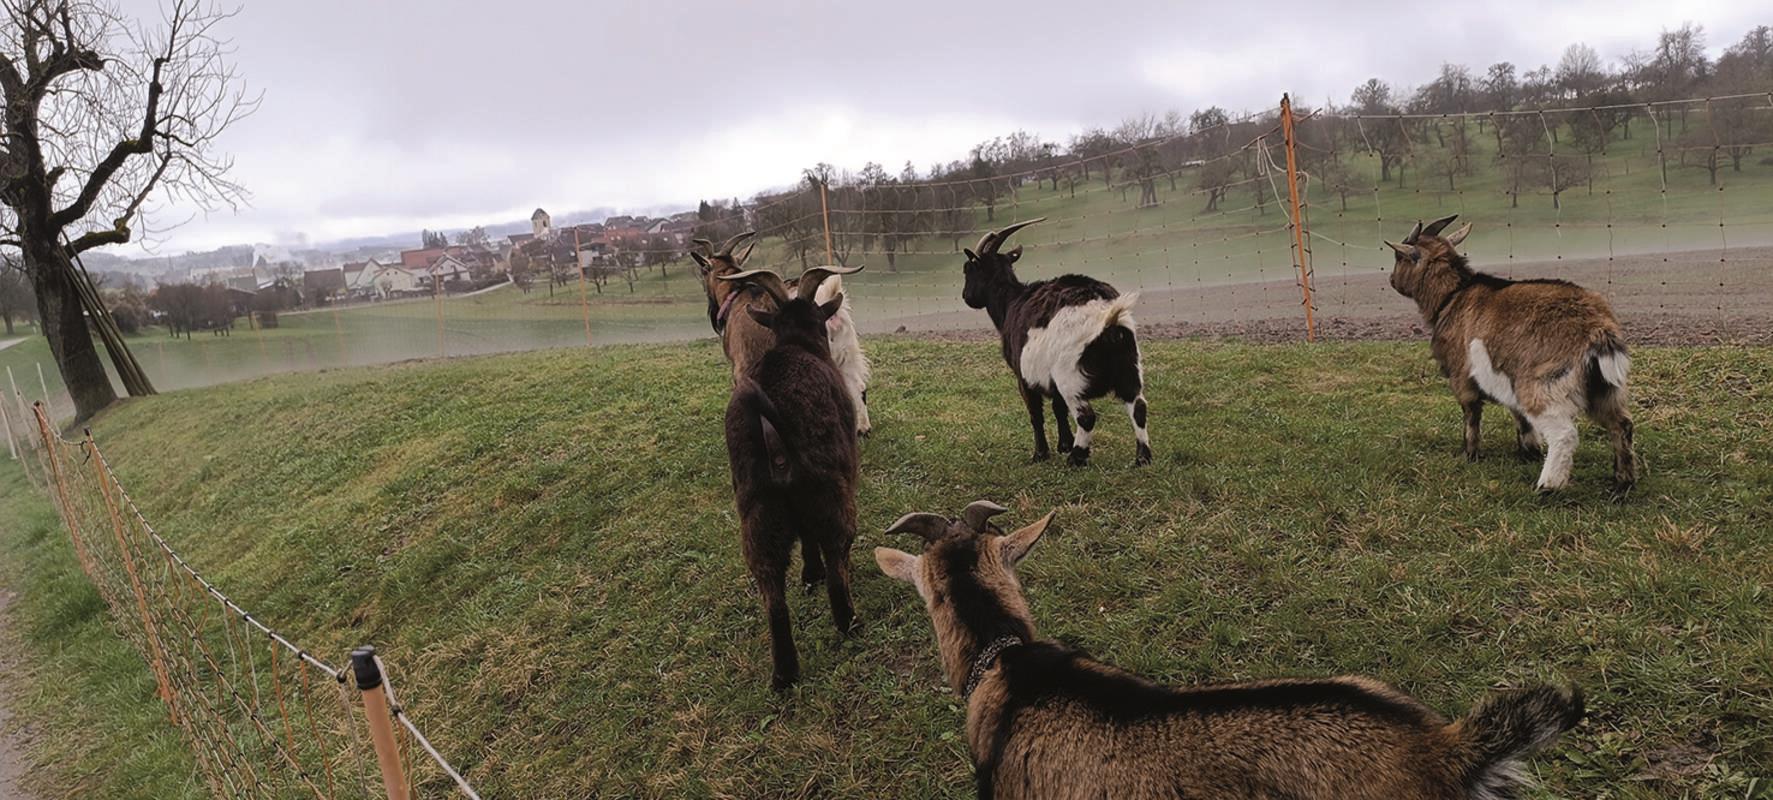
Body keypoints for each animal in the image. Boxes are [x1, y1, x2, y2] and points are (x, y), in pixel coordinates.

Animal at [693, 234, 873, 435]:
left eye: (703, 271)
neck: (736, 295)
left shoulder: (742, 368)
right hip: (845, 354)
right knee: (858, 387)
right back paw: (862, 427)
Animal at [721, 264, 864, 691]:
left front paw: (808, 574)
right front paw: (815, 574)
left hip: (758, 510)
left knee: (771, 588)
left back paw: (784, 673)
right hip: (830, 490)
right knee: (836, 551)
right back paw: (849, 622)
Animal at [960, 218, 1149, 466]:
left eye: (969, 269)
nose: (966, 297)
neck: (1011, 302)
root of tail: (1107, 317)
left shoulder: (1024, 376)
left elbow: (1035, 414)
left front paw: (1041, 454)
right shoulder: (1050, 379)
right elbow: (1058, 408)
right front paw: (1064, 444)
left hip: (1070, 374)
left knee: (1086, 416)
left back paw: (1077, 458)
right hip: (1129, 364)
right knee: (1138, 406)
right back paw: (1142, 458)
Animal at [1385, 215, 1636, 492]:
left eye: (1399, 257)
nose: (1392, 281)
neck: (1453, 296)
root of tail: (1598, 329)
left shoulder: (1462, 377)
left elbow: (1471, 416)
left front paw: (1470, 455)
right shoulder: (1506, 380)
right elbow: (1520, 418)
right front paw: (1528, 452)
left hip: (1544, 382)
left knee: (1564, 433)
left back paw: (1547, 486)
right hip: (1605, 387)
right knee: (1622, 424)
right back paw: (1622, 482)